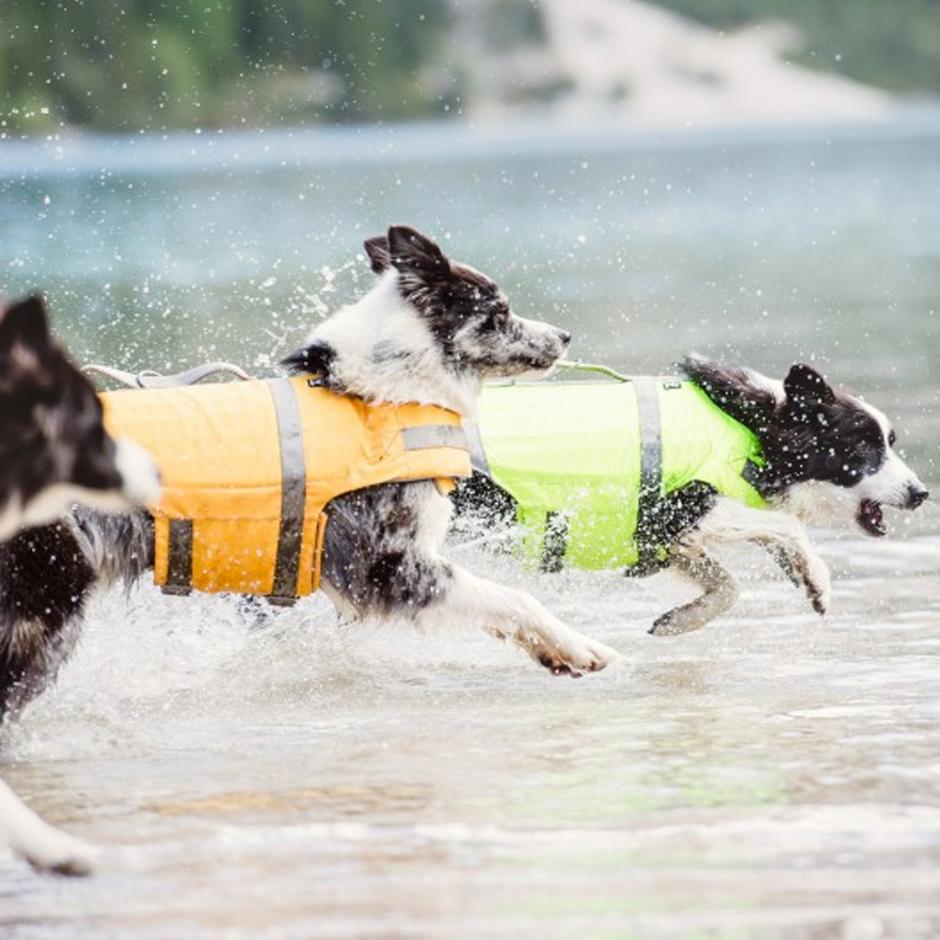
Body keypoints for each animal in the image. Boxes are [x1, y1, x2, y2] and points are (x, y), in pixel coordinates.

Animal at [0, 222, 620, 736]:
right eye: (499, 311)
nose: (564, 336)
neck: (381, 390)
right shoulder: (386, 564)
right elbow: (512, 598)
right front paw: (579, 647)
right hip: (42, 608)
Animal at [454, 356, 924, 636]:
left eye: (890, 441)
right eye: (863, 445)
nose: (920, 493)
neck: (753, 431)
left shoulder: (652, 542)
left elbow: (727, 584)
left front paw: (681, 620)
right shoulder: (681, 504)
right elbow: (782, 524)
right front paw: (817, 579)